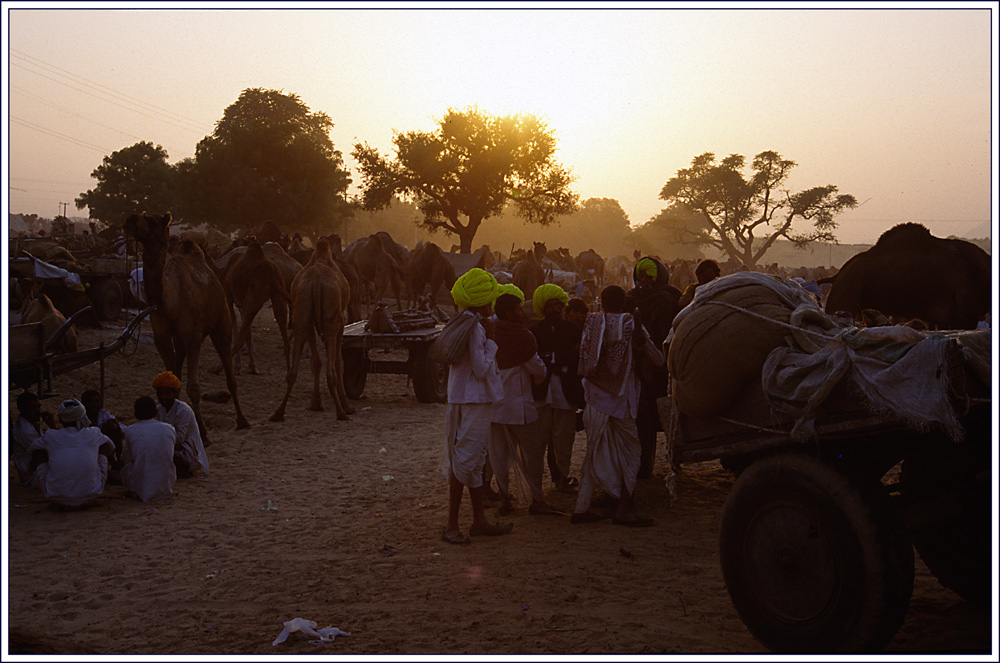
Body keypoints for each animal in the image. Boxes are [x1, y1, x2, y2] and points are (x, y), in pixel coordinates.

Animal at [124, 213, 250, 440]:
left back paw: (242, 420)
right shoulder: (162, 338)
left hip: (221, 324)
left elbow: (194, 388)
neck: (168, 302)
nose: (130, 219)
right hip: (182, 338)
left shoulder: (193, 335)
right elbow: (171, 380)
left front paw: (203, 434)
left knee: (230, 375)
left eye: (153, 220)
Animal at [221, 240, 292, 374]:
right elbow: (246, 332)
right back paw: (289, 373)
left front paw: (240, 366)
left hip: (254, 297)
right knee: (282, 326)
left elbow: (237, 329)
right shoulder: (241, 303)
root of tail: (272, 273)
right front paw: (251, 366)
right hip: (276, 295)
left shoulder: (229, 298)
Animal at [270, 241, 356, 422]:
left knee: (293, 371)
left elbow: (315, 362)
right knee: (332, 369)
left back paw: (278, 412)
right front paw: (347, 405)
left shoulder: (309, 323)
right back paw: (342, 412)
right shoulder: (341, 323)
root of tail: (316, 283)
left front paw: (315, 403)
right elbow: (338, 362)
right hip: (331, 318)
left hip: (302, 310)